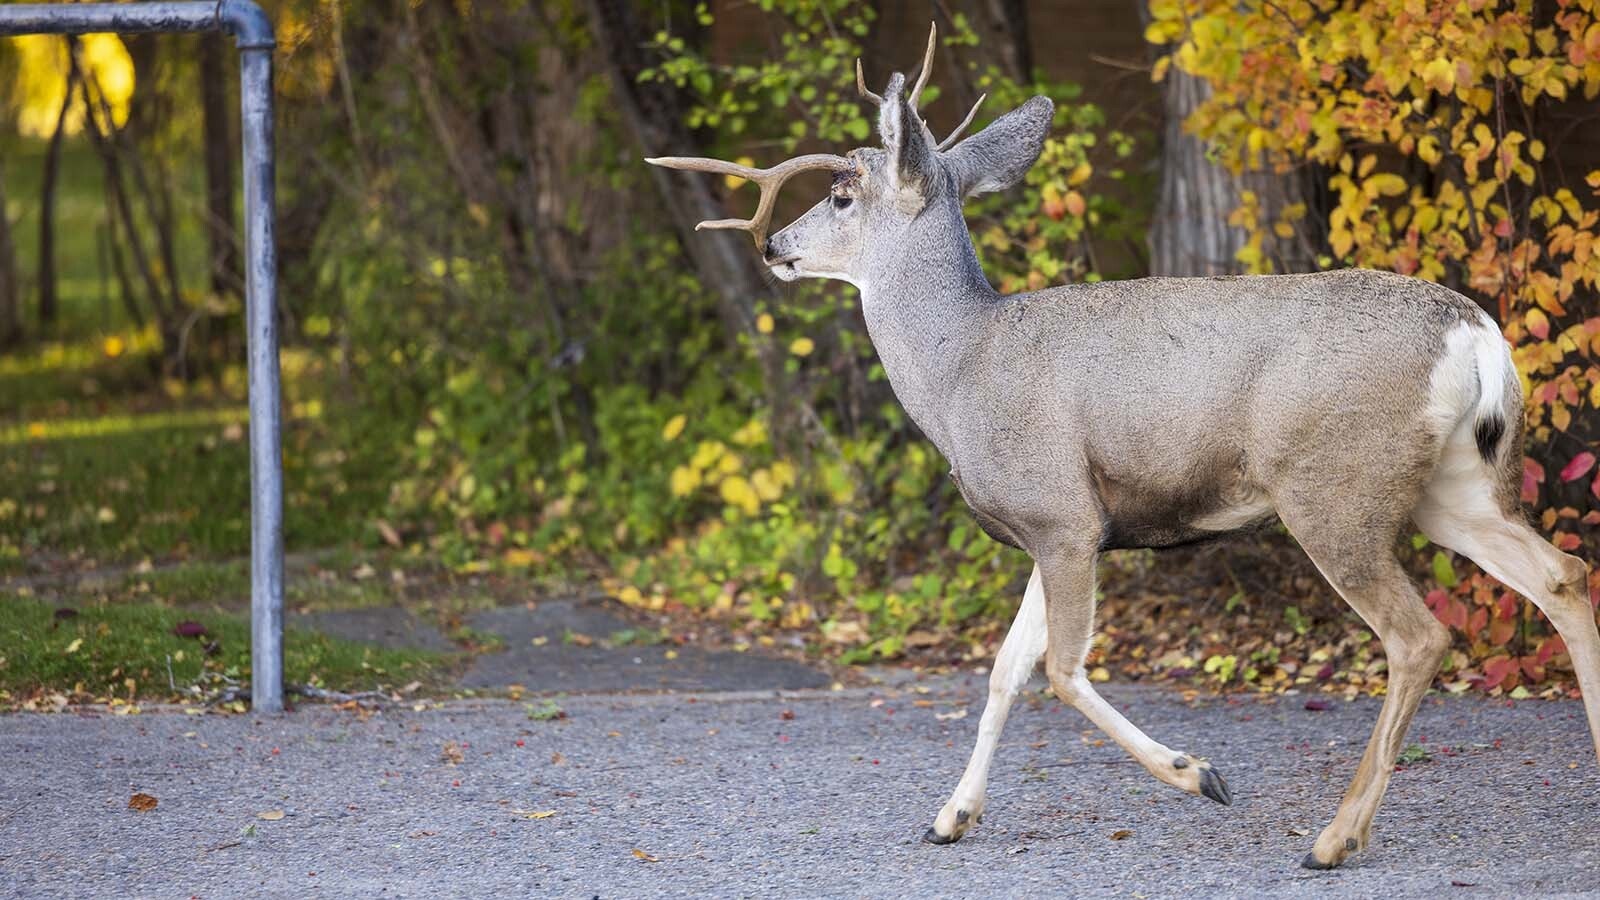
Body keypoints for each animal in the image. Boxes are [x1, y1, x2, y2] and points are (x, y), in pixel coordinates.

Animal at [647, 23, 1600, 870]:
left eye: (843, 196)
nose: (776, 246)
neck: (960, 366)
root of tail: (1475, 333)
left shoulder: (1062, 514)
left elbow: (1061, 669)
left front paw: (1198, 774)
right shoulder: (1051, 527)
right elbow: (1004, 670)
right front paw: (951, 817)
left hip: (1333, 487)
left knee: (1420, 636)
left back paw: (1334, 839)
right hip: (1455, 483)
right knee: (1562, 572)